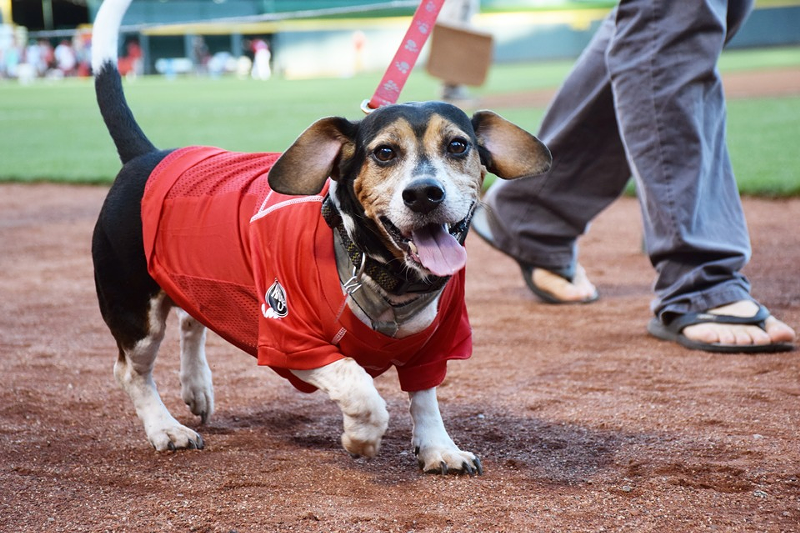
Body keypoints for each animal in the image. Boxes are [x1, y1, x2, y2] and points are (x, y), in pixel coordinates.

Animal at [89, 0, 552, 476]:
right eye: (384, 152)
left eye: (458, 146)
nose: (424, 193)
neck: (387, 277)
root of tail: (148, 157)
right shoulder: (292, 341)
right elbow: (361, 385)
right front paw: (361, 437)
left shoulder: (437, 345)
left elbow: (425, 398)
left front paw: (439, 448)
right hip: (133, 312)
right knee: (131, 372)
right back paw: (165, 428)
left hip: (196, 280)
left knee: (190, 319)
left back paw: (197, 387)